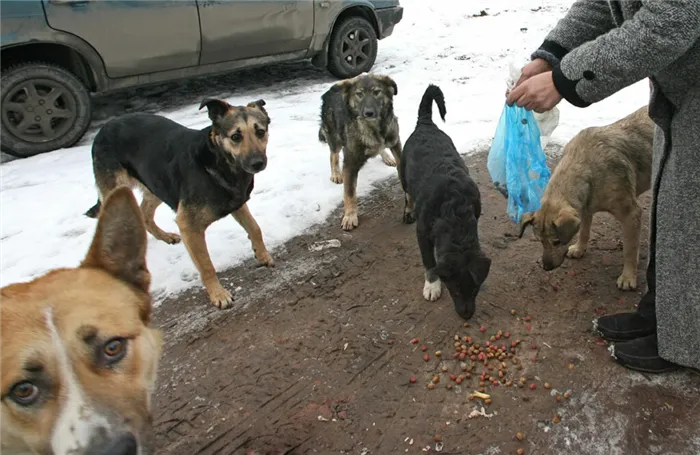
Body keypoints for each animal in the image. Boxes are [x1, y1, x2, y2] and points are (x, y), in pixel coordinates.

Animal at [85, 98, 274, 312]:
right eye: (235, 136)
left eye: (260, 131)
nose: (257, 163)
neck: (218, 161)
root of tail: (105, 127)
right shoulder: (189, 225)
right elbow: (206, 265)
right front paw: (218, 294)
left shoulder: (237, 203)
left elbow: (255, 227)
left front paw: (262, 254)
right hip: (119, 189)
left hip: (155, 183)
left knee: (145, 214)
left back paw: (164, 237)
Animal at [320, 75, 402, 233]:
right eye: (359, 94)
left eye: (377, 92)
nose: (369, 113)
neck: (372, 128)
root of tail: (330, 90)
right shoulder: (350, 163)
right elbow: (350, 193)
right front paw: (350, 216)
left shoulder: (395, 143)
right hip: (335, 137)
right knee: (333, 155)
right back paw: (336, 174)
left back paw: (386, 157)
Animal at [400, 85, 492, 320]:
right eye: (455, 289)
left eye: (475, 289)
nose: (467, 315)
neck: (454, 210)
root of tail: (425, 123)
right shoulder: (422, 233)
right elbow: (429, 262)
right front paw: (432, 286)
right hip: (403, 174)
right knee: (407, 194)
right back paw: (408, 210)